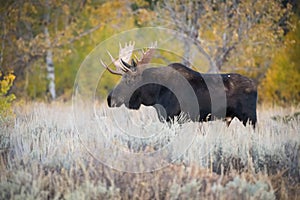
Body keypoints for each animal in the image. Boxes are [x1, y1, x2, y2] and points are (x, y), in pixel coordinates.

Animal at [99, 41, 256, 127]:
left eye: (129, 80)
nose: (110, 99)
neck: (156, 95)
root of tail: (255, 86)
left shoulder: (174, 117)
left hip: (250, 117)